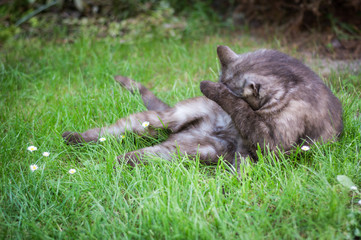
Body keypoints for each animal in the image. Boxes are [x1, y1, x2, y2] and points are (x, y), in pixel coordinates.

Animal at [62, 46, 344, 168]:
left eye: (227, 88)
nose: (211, 95)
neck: (294, 87)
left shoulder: (272, 143)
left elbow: (245, 115)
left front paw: (210, 87)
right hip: (161, 120)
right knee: (107, 133)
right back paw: (72, 137)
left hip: (192, 151)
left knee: (140, 154)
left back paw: (114, 161)